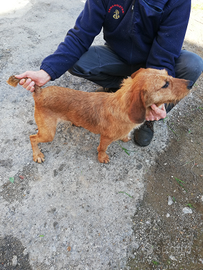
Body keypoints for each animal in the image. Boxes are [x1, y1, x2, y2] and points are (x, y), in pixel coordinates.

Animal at [7, 68, 192, 163]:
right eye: (165, 84)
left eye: (168, 74)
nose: (190, 83)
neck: (122, 106)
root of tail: (39, 92)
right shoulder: (106, 138)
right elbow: (102, 148)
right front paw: (102, 157)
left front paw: (125, 136)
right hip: (48, 133)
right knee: (32, 138)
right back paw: (37, 155)